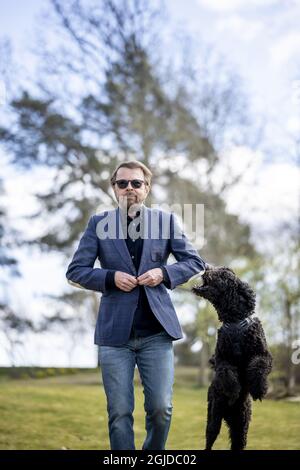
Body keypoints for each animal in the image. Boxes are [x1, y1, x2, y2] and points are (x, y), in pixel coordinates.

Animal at [192, 266, 272, 450]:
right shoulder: (222, 359)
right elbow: (228, 373)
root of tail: (229, 415)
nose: (206, 267)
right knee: (209, 440)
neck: (235, 320)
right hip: (214, 417)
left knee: (237, 443)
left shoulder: (262, 353)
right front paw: (234, 391)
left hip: (241, 425)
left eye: (223, 274)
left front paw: (259, 389)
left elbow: (258, 366)